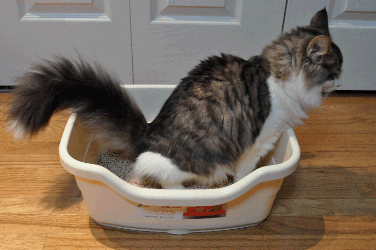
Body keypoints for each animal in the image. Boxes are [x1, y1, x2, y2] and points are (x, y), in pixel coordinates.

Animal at [8, 8, 344, 189]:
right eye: (336, 69)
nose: (342, 80)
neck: (277, 75)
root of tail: (148, 132)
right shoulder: (259, 140)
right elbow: (244, 172)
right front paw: (240, 185)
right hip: (188, 164)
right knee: (164, 178)